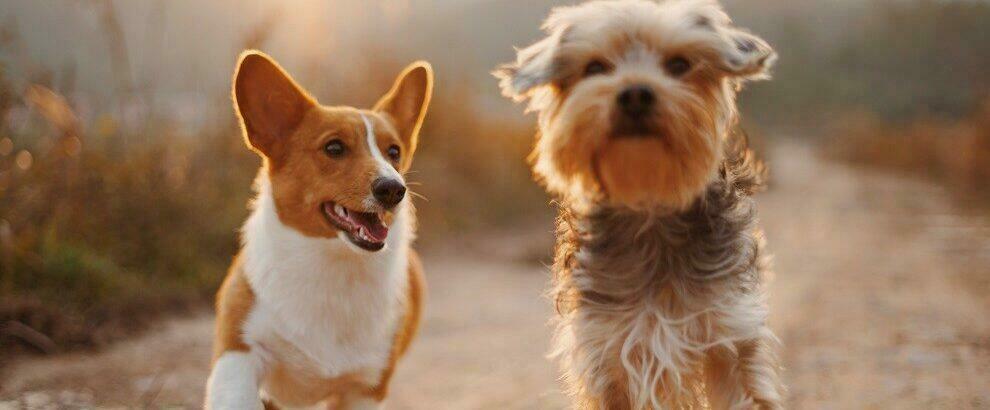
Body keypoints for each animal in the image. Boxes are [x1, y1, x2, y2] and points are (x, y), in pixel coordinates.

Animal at [204, 52, 430, 410]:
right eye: (334, 148)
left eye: (394, 152)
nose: (394, 189)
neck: (331, 263)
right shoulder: (239, 354)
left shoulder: (364, 388)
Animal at [500, 1, 788, 408]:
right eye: (595, 68)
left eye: (679, 64)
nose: (635, 94)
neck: (649, 203)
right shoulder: (606, 350)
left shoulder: (731, 332)